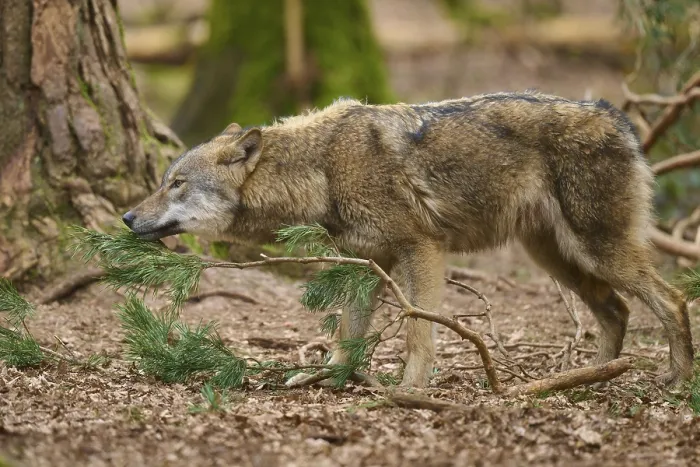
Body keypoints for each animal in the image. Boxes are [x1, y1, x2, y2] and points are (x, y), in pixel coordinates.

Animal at [122, 91, 695, 388]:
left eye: (176, 183)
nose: (126, 217)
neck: (322, 168)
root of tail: (619, 118)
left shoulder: (422, 251)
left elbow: (420, 331)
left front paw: (410, 390)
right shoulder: (364, 263)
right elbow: (346, 334)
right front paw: (328, 378)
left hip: (595, 251)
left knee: (673, 299)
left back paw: (676, 379)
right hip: (557, 257)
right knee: (617, 310)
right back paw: (592, 377)